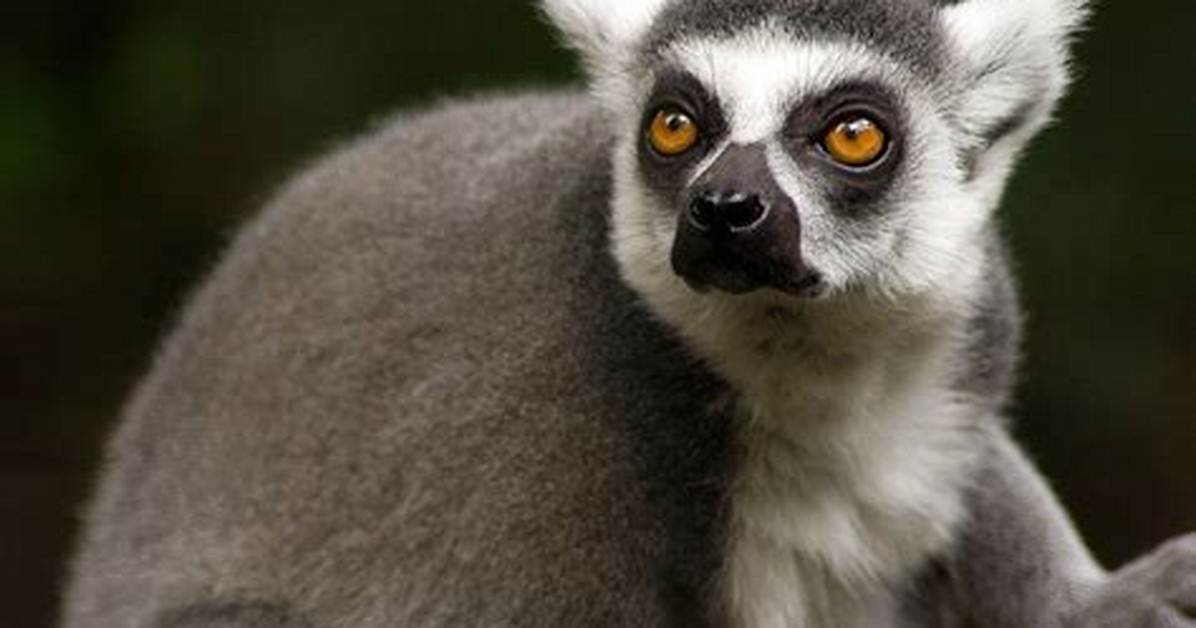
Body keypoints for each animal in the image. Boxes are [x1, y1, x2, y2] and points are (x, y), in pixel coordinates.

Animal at [62, 0, 1196, 626]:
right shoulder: (549, 451)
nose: (725, 207)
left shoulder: (962, 329)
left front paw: (1091, 605)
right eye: (674, 125)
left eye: (852, 135)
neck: (800, 367)